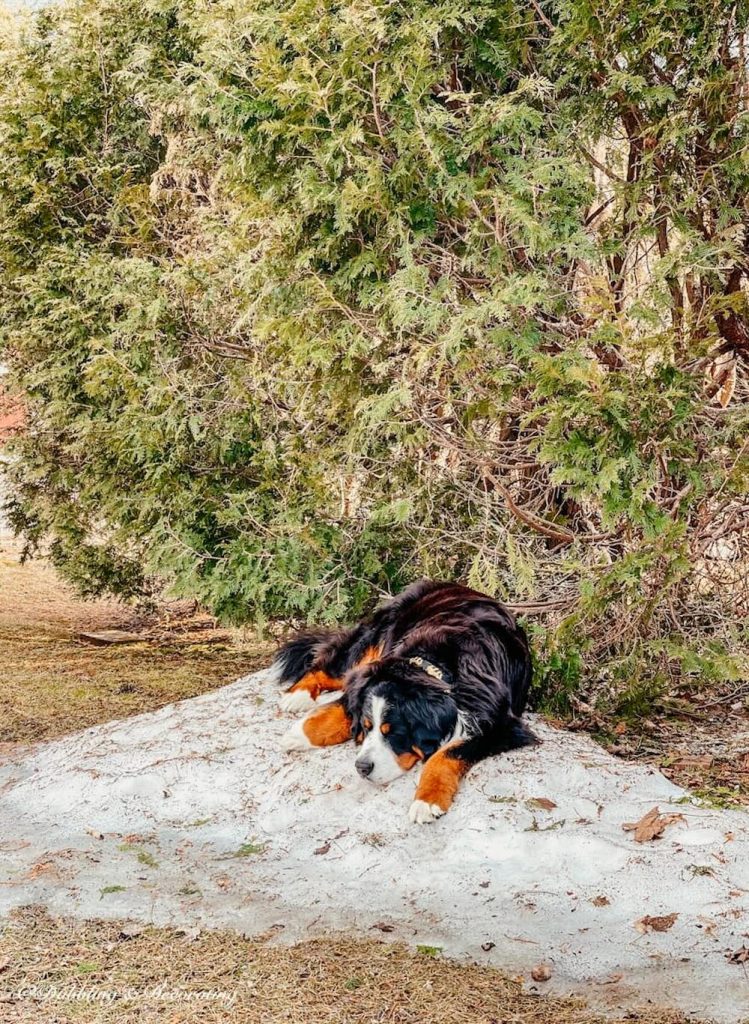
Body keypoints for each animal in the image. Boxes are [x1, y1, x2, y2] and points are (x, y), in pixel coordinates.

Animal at [278, 577, 536, 823]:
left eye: (394, 732)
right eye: (367, 727)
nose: (362, 767)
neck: (438, 667)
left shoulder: (503, 727)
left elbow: (446, 754)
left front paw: (427, 800)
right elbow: (343, 708)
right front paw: (298, 735)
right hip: (371, 639)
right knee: (329, 664)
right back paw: (297, 695)